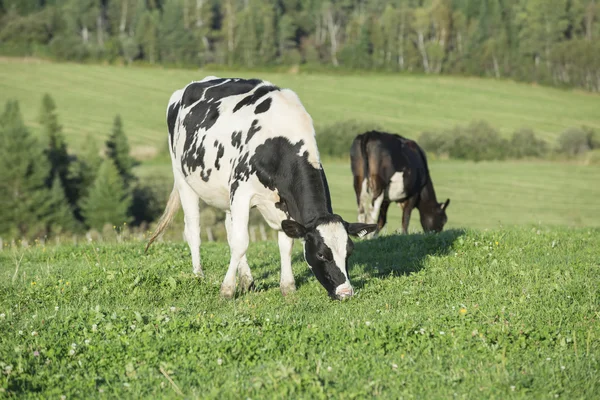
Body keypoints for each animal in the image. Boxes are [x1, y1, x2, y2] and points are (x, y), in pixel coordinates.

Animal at [145, 76, 376, 298]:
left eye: (349, 251)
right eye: (321, 253)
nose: (346, 293)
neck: (279, 140)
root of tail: (189, 86)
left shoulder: (284, 203)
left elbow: (285, 244)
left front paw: (287, 286)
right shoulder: (241, 190)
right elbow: (241, 242)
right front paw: (227, 290)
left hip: (226, 193)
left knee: (229, 230)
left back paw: (247, 279)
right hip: (183, 178)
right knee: (194, 229)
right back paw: (199, 275)